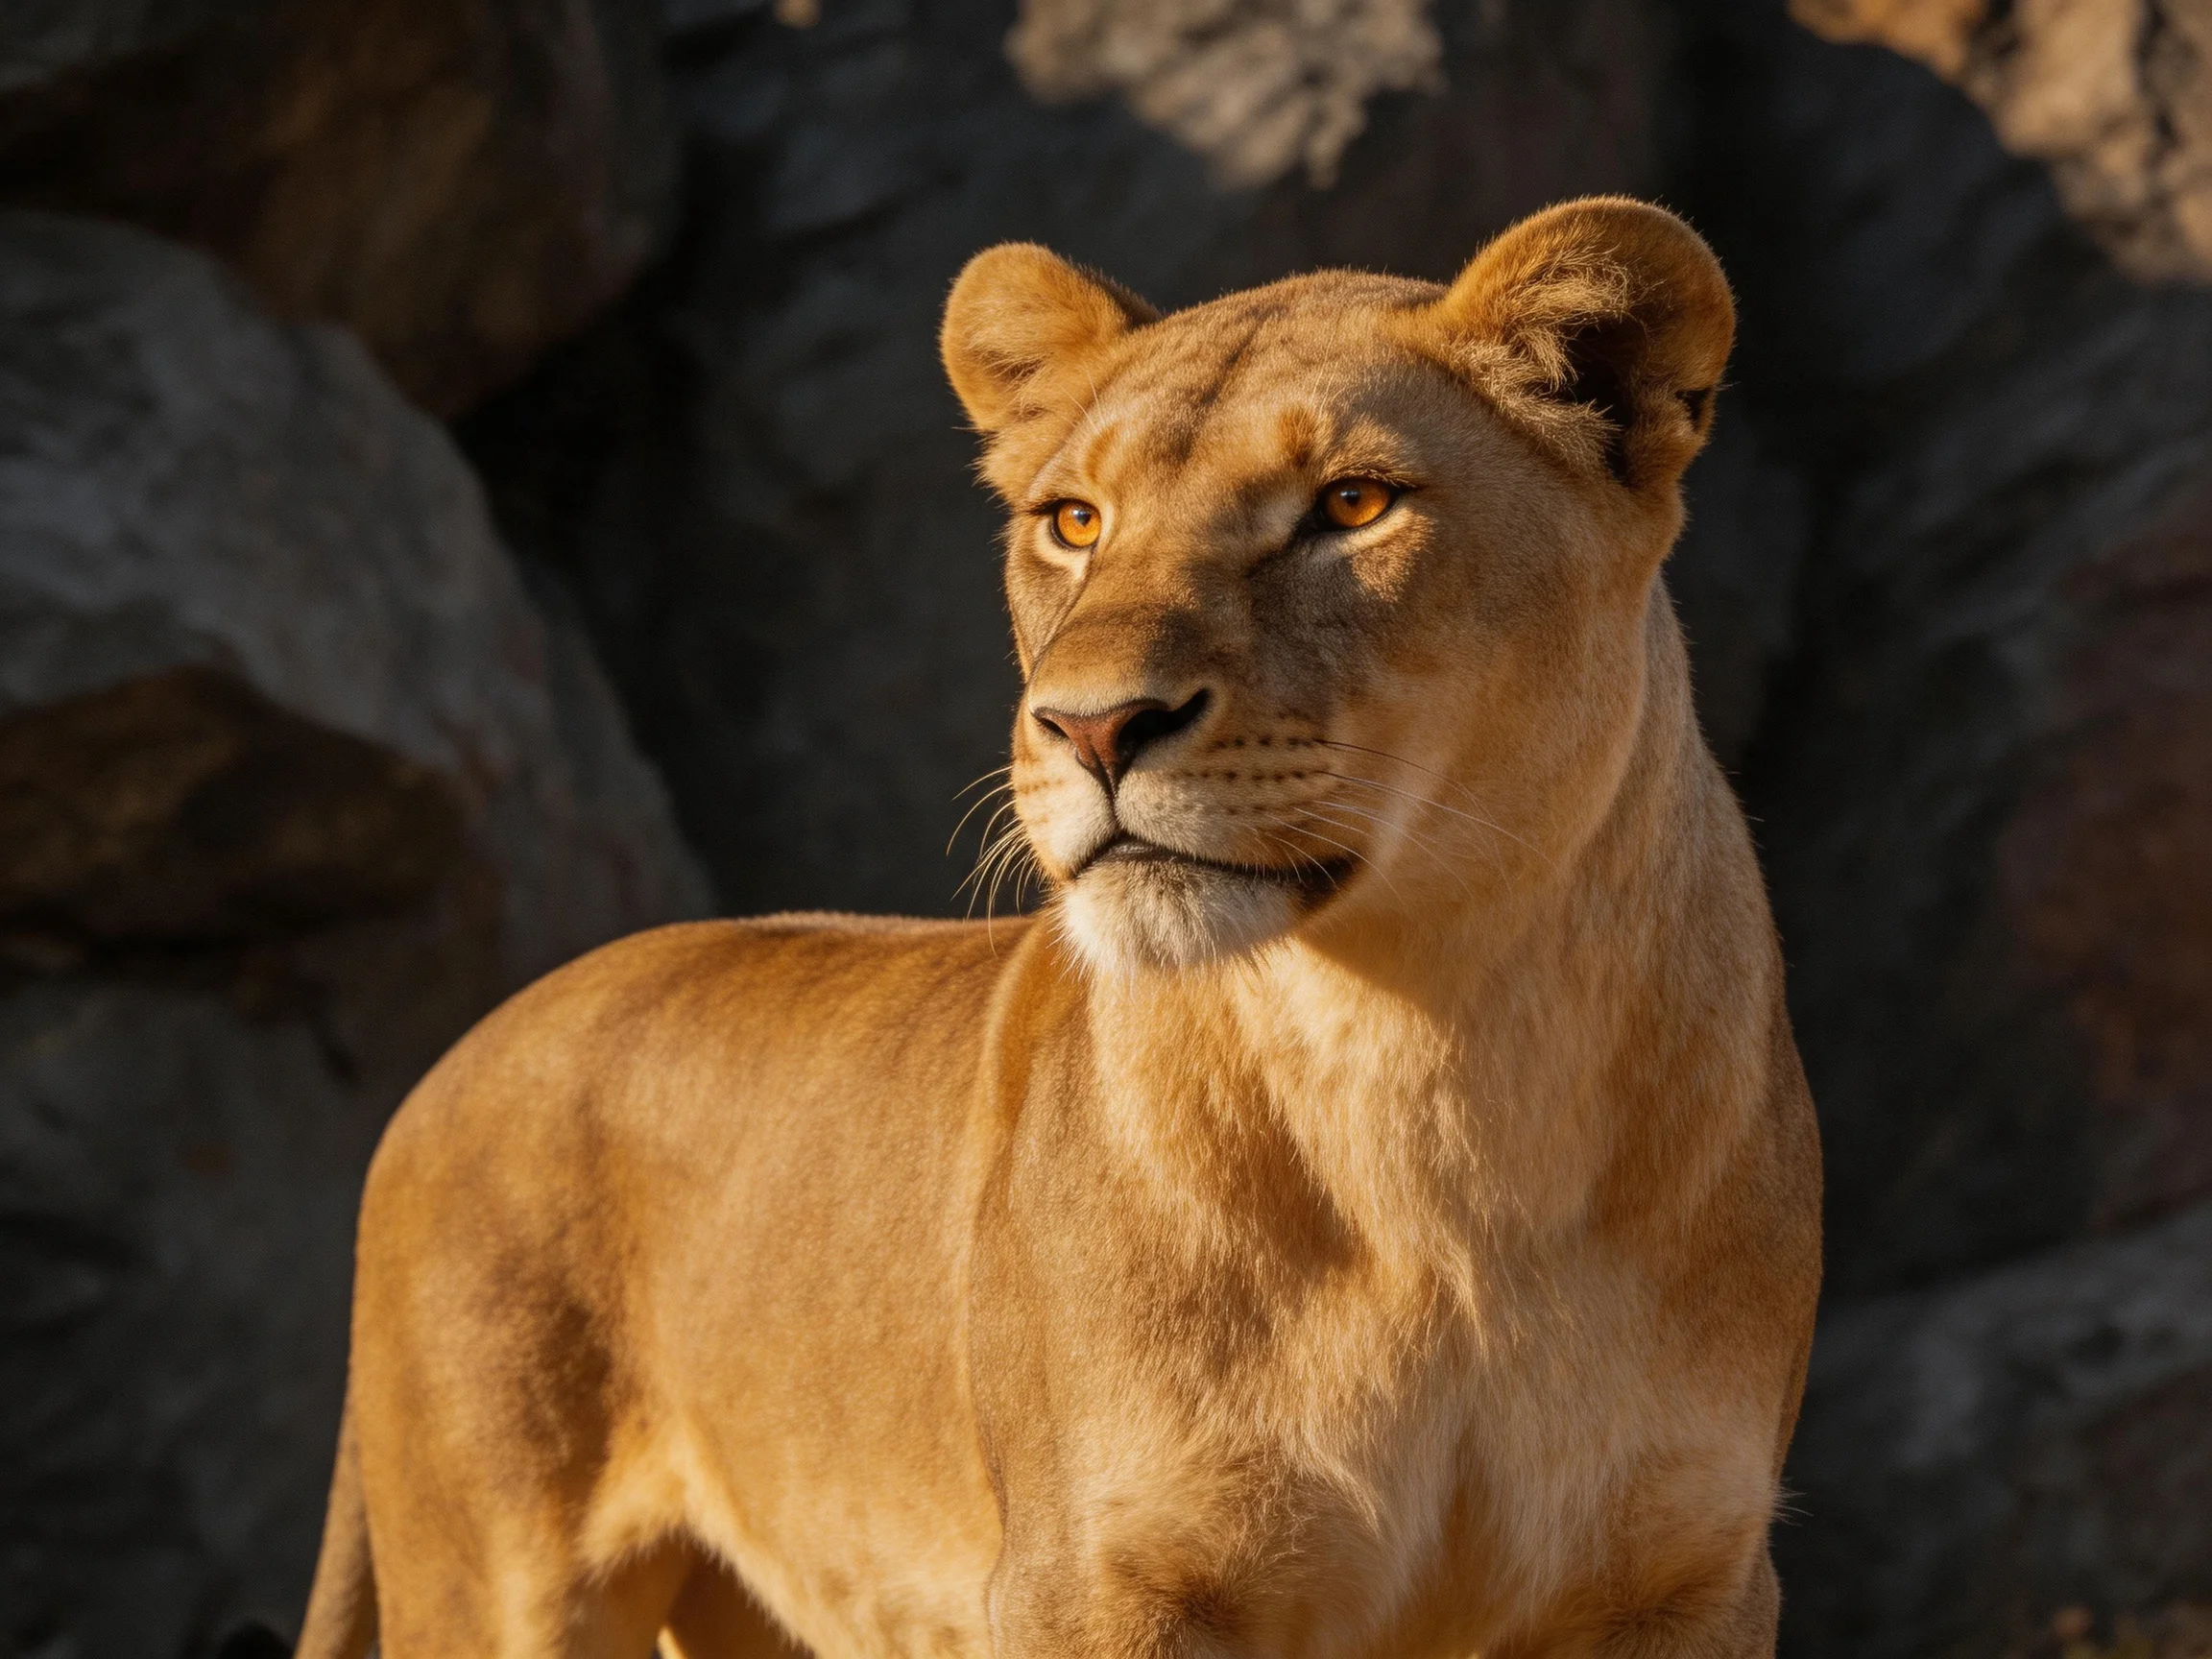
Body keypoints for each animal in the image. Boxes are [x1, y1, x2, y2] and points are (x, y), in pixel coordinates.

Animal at [296, 196, 1821, 1659]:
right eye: (1074, 522)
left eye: (1353, 503)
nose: (1090, 727)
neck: (1430, 1067)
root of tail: (469, 1048)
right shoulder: (1098, 1578)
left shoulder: (1684, 1575)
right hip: (499, 1581)